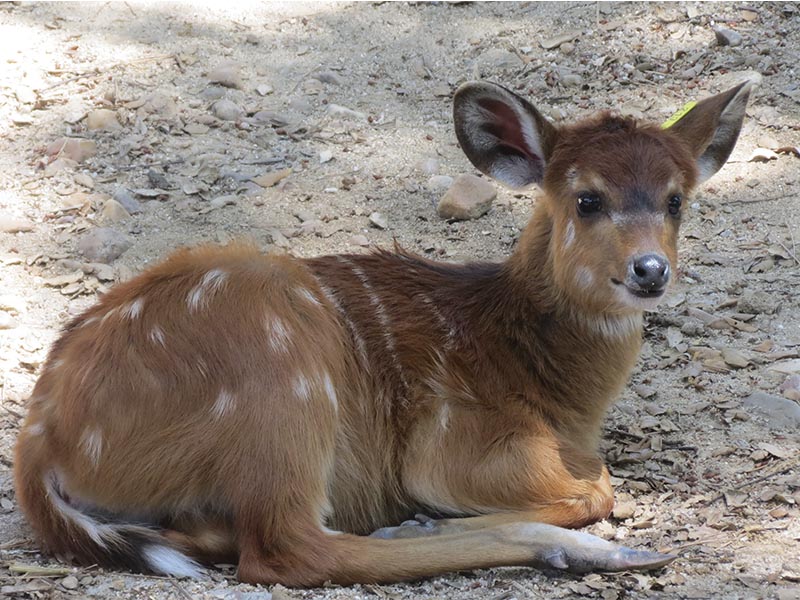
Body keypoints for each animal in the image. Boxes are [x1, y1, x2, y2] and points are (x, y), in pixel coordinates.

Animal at [12, 78, 752, 584]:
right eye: (587, 198)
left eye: (676, 200)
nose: (649, 270)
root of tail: (42, 449)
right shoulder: (463, 441)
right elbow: (596, 486)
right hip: (280, 380)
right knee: (289, 549)